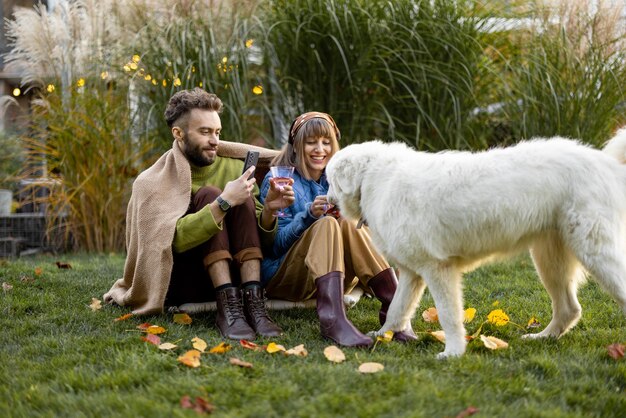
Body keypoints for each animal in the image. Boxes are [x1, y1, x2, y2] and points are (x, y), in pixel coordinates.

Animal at [324, 131, 624, 360]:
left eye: (329, 181)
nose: (324, 201)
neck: (374, 179)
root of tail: (606, 163)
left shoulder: (438, 269)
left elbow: (448, 315)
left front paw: (453, 353)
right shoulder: (412, 273)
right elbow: (398, 308)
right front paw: (381, 335)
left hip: (594, 251)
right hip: (549, 259)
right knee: (569, 309)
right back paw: (541, 337)